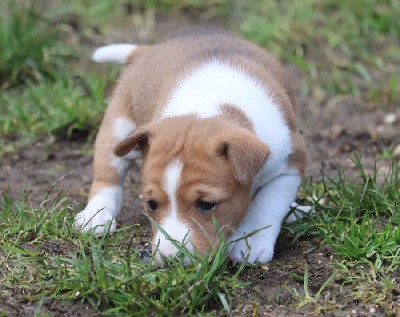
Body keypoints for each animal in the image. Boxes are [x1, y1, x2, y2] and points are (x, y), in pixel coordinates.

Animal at [75, 27, 310, 264]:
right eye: (151, 204)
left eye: (206, 204)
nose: (170, 258)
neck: (210, 109)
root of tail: (148, 51)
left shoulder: (289, 167)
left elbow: (267, 205)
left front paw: (250, 242)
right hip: (118, 130)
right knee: (107, 177)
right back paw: (95, 216)